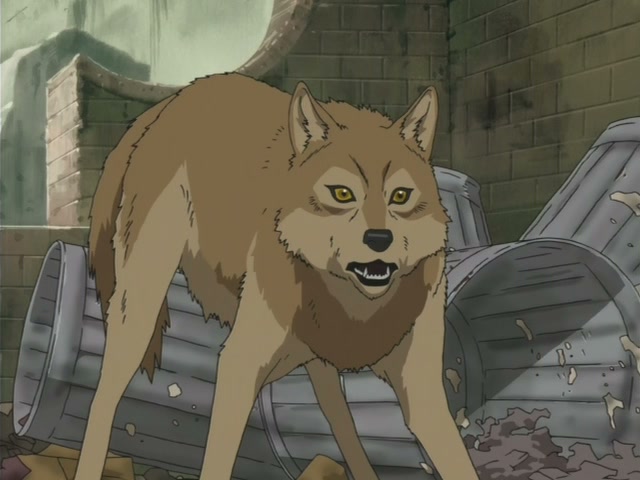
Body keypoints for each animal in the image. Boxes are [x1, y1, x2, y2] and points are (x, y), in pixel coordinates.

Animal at [76, 72, 479, 480]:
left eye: (400, 196)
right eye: (342, 194)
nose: (379, 239)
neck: (356, 312)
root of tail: (173, 98)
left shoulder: (423, 395)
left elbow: (457, 461)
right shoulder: (238, 365)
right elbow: (218, 459)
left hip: (317, 369)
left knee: (341, 423)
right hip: (138, 315)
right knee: (101, 399)